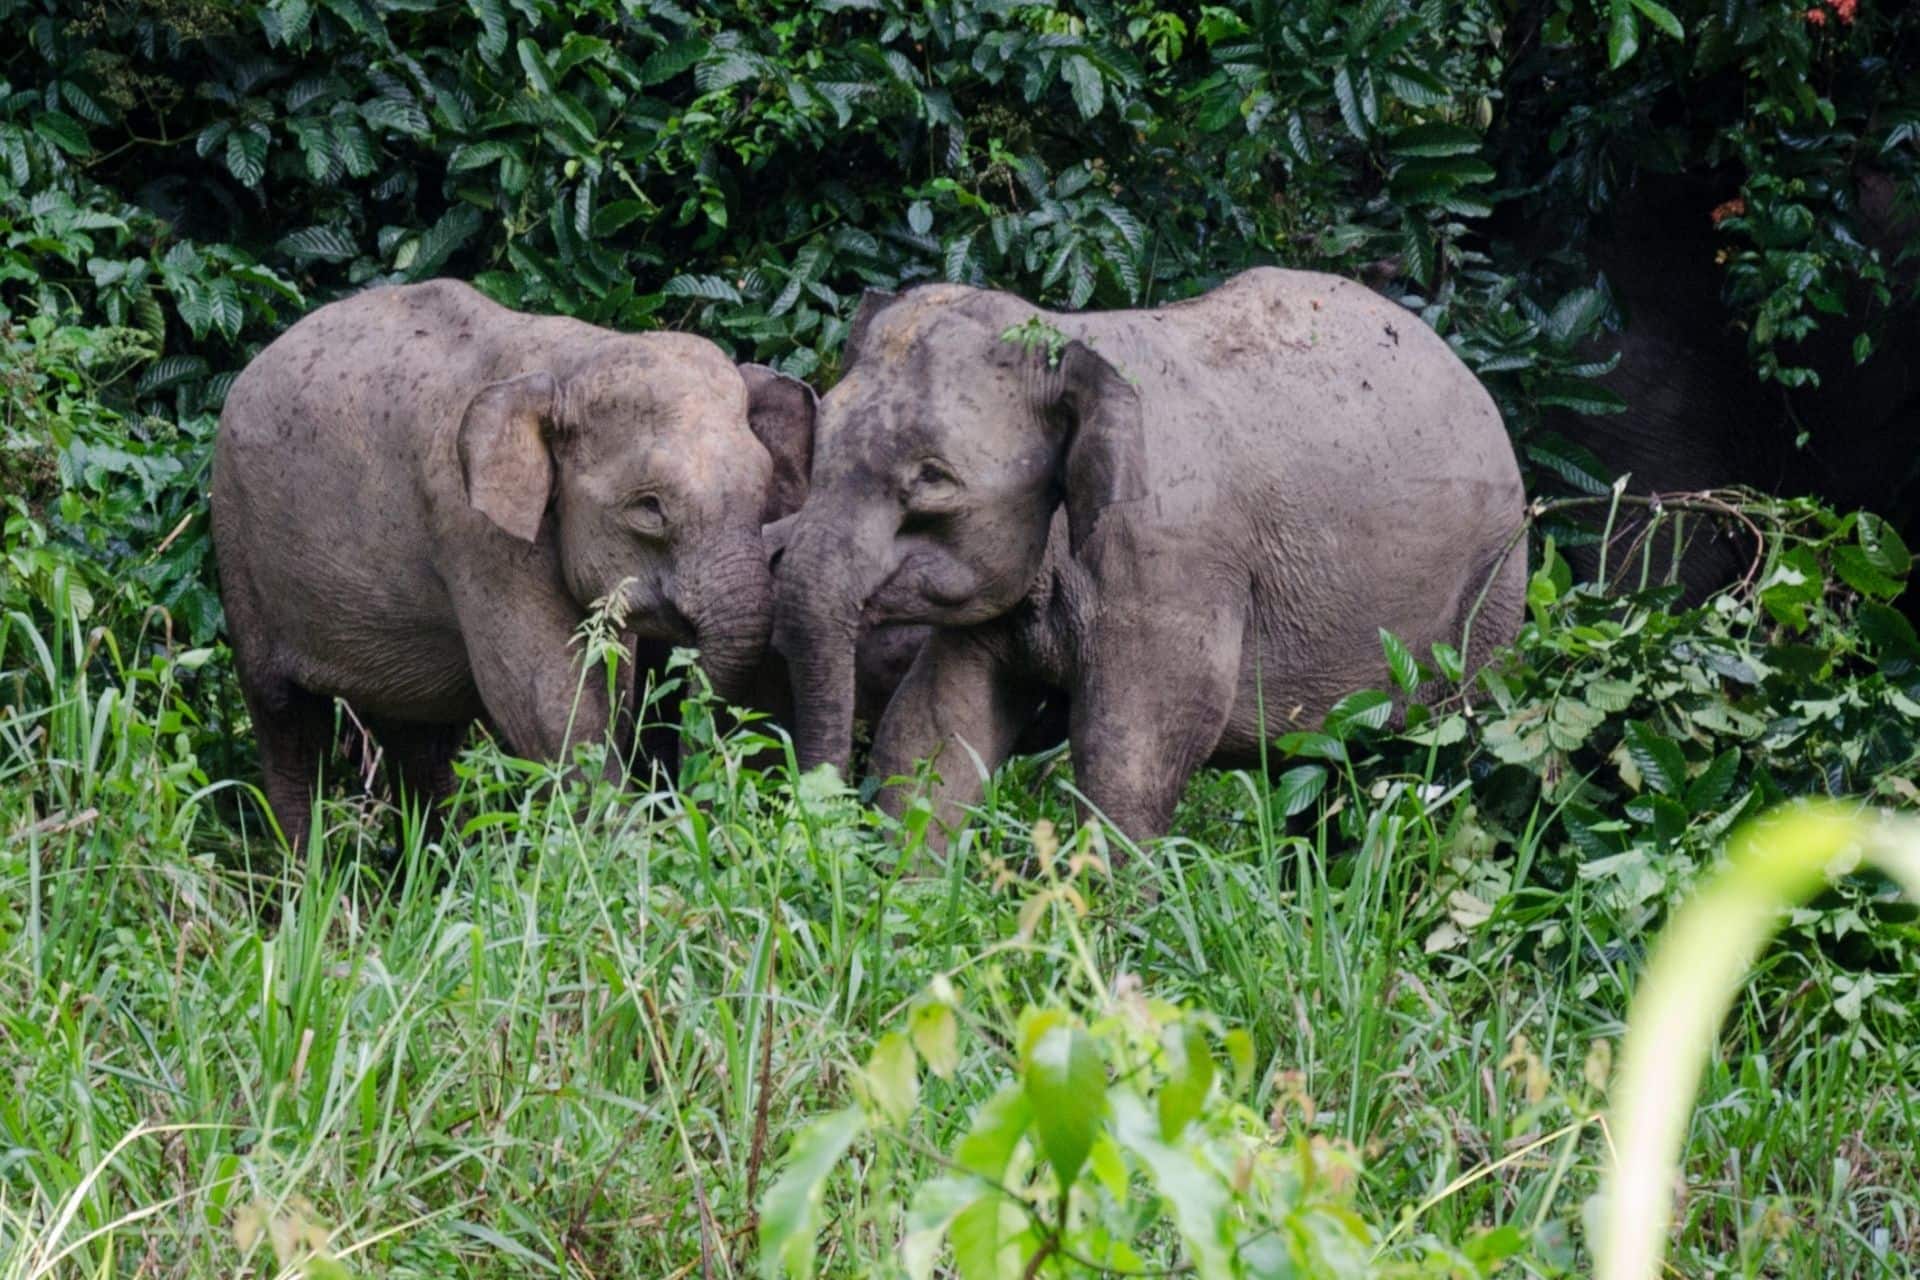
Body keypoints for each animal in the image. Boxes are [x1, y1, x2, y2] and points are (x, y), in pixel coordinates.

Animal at [212, 278, 814, 846]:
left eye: (763, 491)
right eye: (649, 508)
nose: (690, 793)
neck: (571, 363)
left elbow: (607, 689)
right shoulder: (474, 532)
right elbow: (552, 703)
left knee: (417, 739)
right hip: (238, 542)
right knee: (286, 719)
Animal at [771, 267, 1529, 843]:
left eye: (932, 480)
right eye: (820, 439)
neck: (1064, 336)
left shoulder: (1173, 560)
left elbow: (1128, 755)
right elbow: (933, 730)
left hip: (1489, 592)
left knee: (1432, 758)